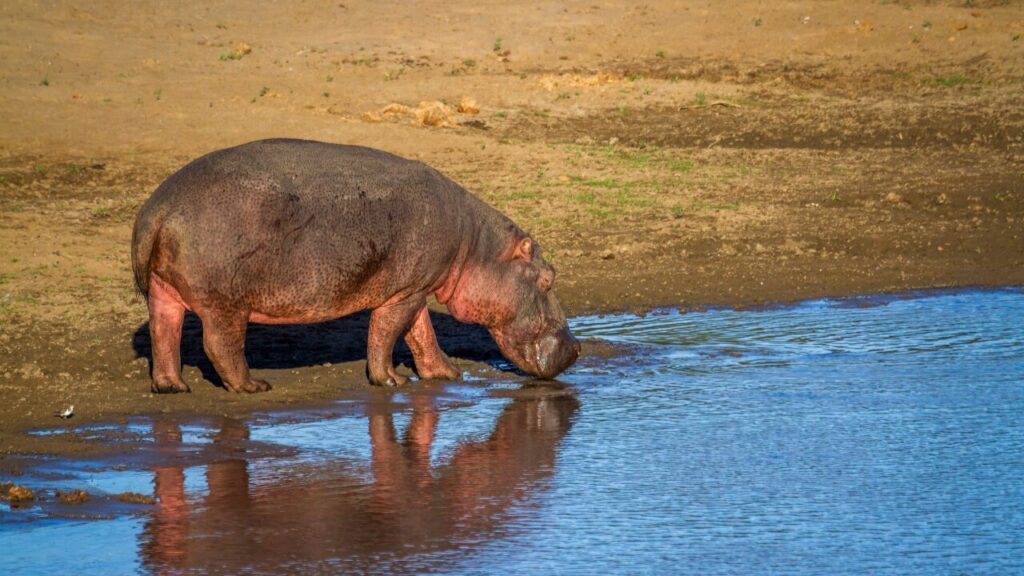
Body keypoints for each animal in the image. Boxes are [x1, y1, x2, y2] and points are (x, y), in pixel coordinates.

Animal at [131, 139, 579, 393]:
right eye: (548, 278)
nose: (576, 348)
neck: (475, 245)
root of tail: (159, 208)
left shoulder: (415, 289)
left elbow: (421, 334)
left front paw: (448, 375)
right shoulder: (405, 291)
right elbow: (385, 333)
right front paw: (392, 381)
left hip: (162, 293)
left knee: (163, 334)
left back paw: (173, 387)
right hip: (225, 304)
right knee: (220, 346)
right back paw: (254, 386)